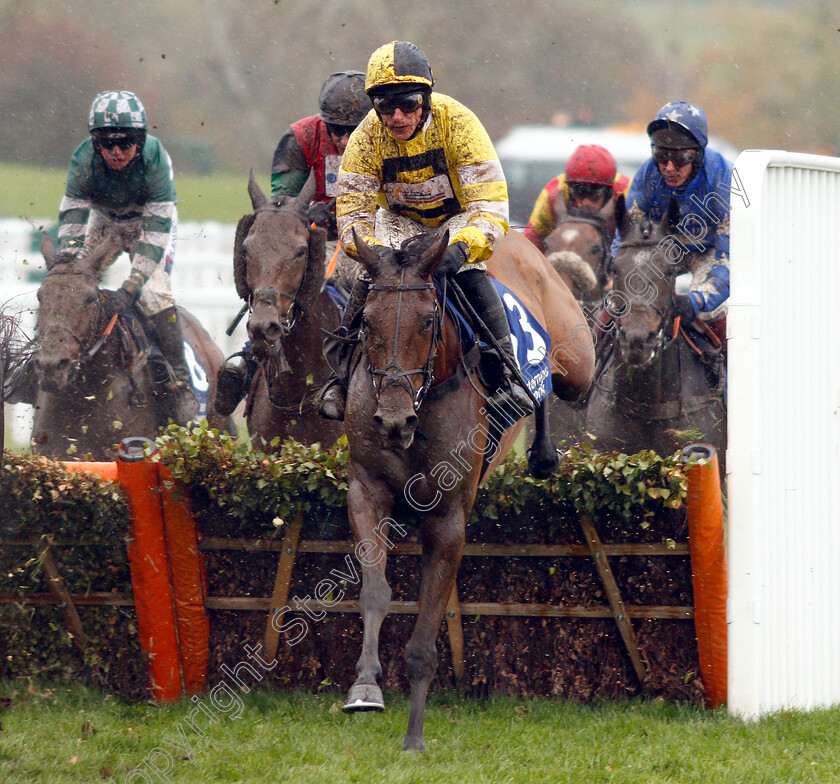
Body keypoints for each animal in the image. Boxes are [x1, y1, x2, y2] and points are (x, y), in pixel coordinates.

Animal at [340, 228, 592, 752]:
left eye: (427, 319)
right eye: (366, 320)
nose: (393, 421)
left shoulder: (448, 519)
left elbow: (424, 636)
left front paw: (414, 737)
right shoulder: (366, 492)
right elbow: (375, 590)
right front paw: (365, 686)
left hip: (576, 360)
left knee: (558, 382)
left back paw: (542, 445)